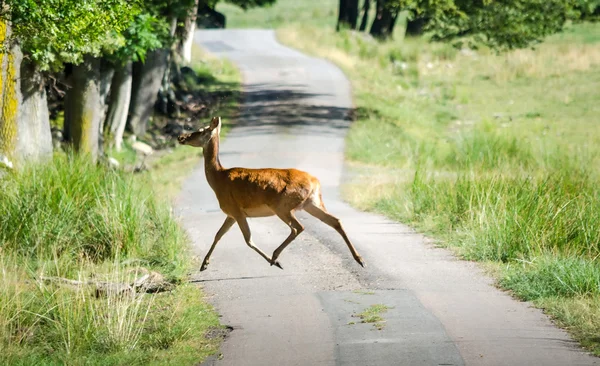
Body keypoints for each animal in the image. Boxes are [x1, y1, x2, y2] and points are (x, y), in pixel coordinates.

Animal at [178, 117, 366, 272]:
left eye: (201, 130)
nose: (181, 137)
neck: (218, 179)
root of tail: (315, 182)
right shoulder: (231, 213)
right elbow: (218, 234)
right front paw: (204, 264)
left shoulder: (236, 210)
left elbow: (248, 240)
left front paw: (274, 261)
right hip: (311, 203)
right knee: (335, 221)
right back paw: (360, 259)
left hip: (283, 205)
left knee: (298, 227)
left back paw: (275, 256)